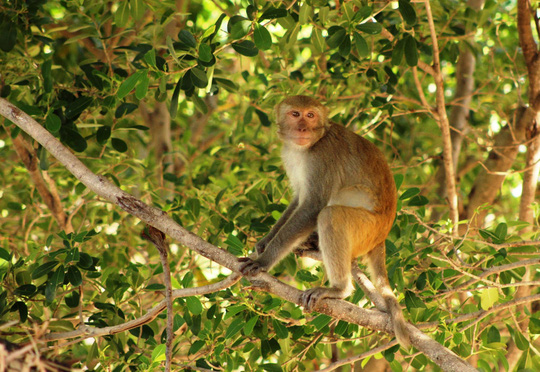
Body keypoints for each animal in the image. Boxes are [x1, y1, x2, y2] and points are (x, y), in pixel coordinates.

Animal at [238, 94, 412, 348]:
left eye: (311, 115)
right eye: (295, 114)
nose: (303, 128)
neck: (309, 145)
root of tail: (382, 236)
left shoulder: (322, 156)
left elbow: (313, 206)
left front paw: (264, 261)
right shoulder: (289, 155)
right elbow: (299, 198)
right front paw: (266, 241)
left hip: (367, 229)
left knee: (331, 215)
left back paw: (339, 289)